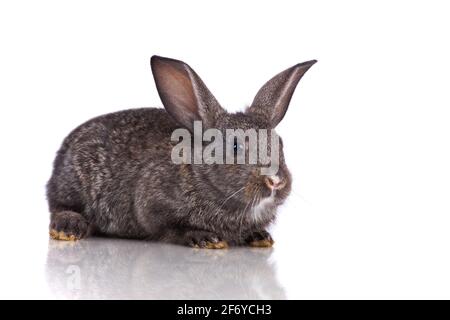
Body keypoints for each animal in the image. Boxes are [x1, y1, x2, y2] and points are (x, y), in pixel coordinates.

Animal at [47, 55, 316, 248]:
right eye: (235, 146)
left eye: (280, 144)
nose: (276, 181)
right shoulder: (152, 207)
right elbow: (171, 229)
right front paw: (204, 238)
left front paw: (259, 236)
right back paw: (68, 227)